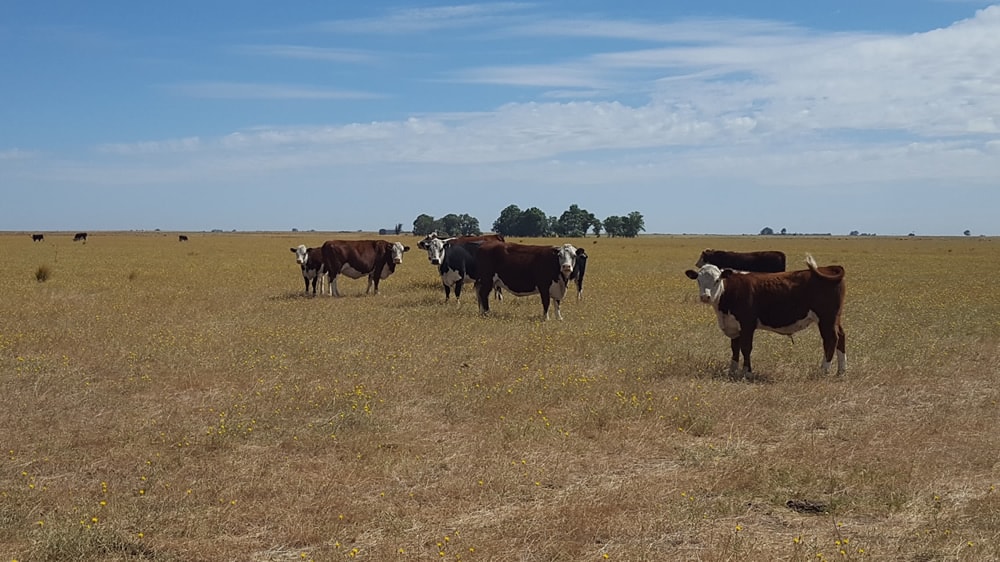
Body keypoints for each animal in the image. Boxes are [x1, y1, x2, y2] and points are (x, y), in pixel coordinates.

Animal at [688, 254, 844, 376]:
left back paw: (824, 370)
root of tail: (829, 268)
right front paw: (732, 371)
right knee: (841, 336)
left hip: (826, 319)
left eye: (717, 280)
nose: (705, 297)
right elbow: (735, 348)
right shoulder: (734, 325)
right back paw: (841, 371)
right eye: (698, 280)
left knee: (831, 339)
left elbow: (746, 348)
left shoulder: (747, 324)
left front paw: (747, 371)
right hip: (835, 318)